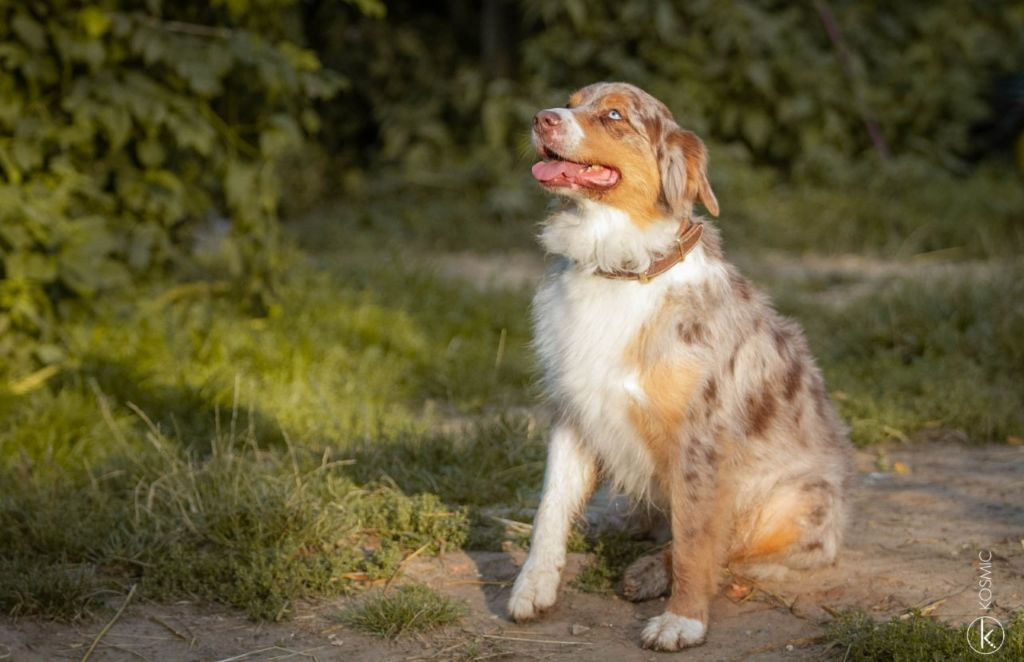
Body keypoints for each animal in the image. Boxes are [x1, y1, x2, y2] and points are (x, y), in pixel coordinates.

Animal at [507, 84, 851, 651]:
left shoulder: (700, 436)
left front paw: (682, 620)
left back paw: (652, 572)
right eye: (570, 102)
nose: (540, 118)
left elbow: (696, 540)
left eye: (614, 115)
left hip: (794, 501)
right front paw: (532, 588)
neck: (620, 268)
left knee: (732, 548)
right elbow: (551, 508)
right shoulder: (574, 412)